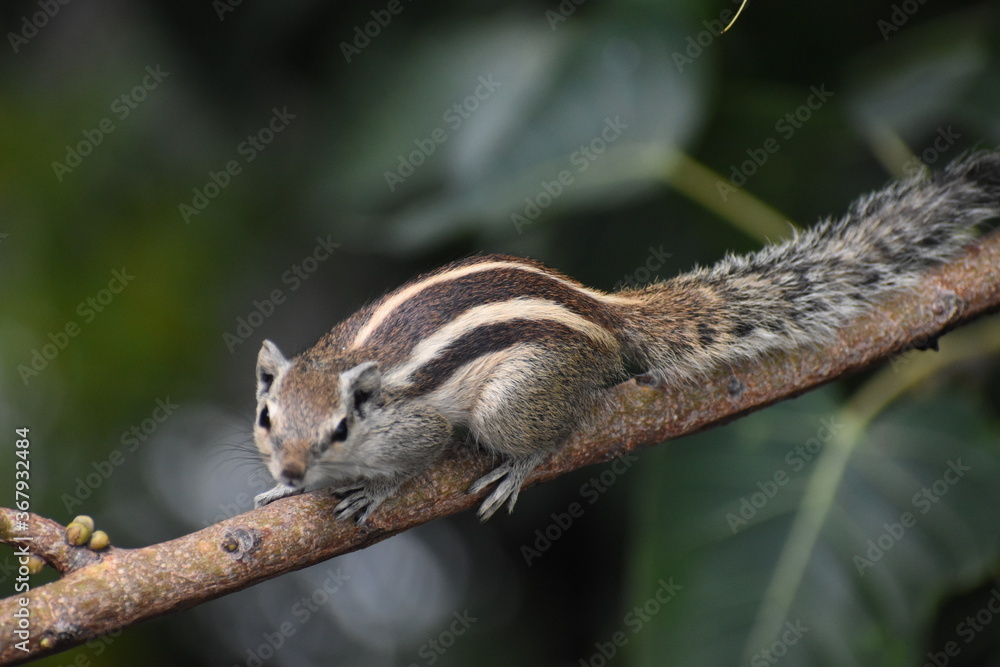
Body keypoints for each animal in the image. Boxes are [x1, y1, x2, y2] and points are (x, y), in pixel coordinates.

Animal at [252, 151, 1000, 522]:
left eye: (341, 428)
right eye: (266, 418)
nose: (290, 470)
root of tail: (603, 313)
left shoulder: (416, 427)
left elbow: (415, 460)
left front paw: (375, 492)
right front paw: (282, 494)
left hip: (517, 394)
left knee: (543, 433)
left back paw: (518, 467)